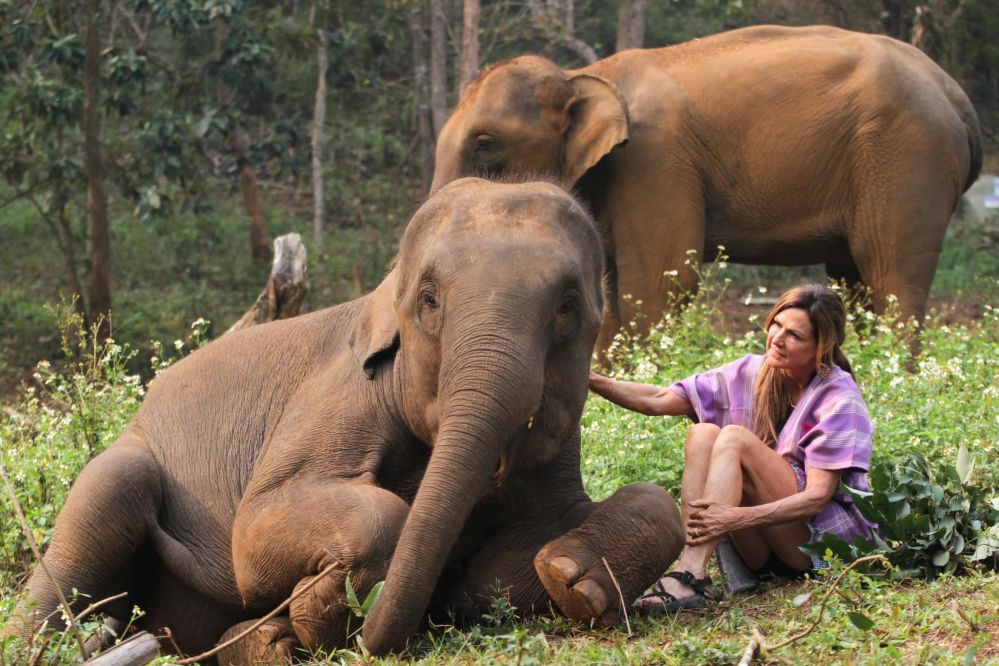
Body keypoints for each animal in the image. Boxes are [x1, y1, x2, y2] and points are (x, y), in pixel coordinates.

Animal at [15, 178, 684, 660]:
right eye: (429, 299)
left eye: (569, 307)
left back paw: (263, 641)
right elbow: (256, 530)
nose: (371, 637)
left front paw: (568, 572)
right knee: (108, 497)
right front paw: (318, 616)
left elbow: (518, 561)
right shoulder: (340, 392)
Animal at [430, 26, 984, 348]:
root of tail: (958, 97)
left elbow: (662, 281)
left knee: (891, 277)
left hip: (909, 157)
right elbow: (605, 288)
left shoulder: (654, 162)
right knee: (856, 279)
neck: (584, 75)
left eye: (484, 143)